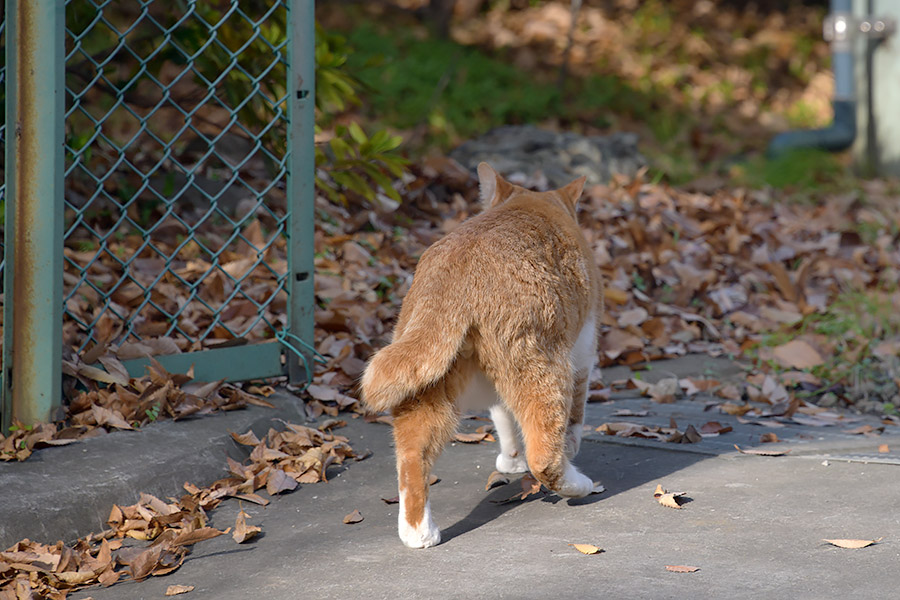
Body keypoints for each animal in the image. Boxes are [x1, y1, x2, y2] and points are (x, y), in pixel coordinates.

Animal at [362, 162, 600, 548]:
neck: (530, 202)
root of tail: (457, 269)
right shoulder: (583, 357)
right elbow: (574, 420)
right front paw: (570, 448)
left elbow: (502, 415)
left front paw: (510, 459)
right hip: (543, 366)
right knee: (543, 455)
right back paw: (578, 484)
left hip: (429, 384)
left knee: (412, 455)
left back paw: (418, 533)